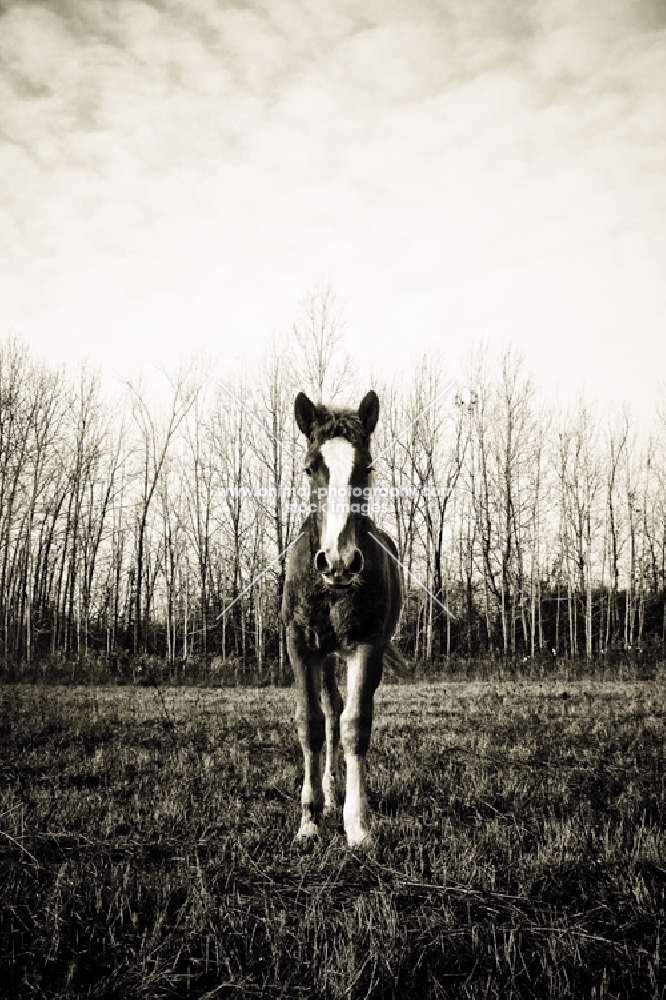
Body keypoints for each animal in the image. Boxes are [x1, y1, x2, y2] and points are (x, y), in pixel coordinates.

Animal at [278, 390, 402, 844]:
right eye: (309, 467)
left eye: (365, 467)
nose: (339, 562)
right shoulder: (300, 646)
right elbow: (311, 723)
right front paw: (309, 821)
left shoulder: (366, 646)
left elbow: (355, 726)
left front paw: (358, 826)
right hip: (325, 654)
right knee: (330, 709)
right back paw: (329, 797)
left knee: (344, 711)